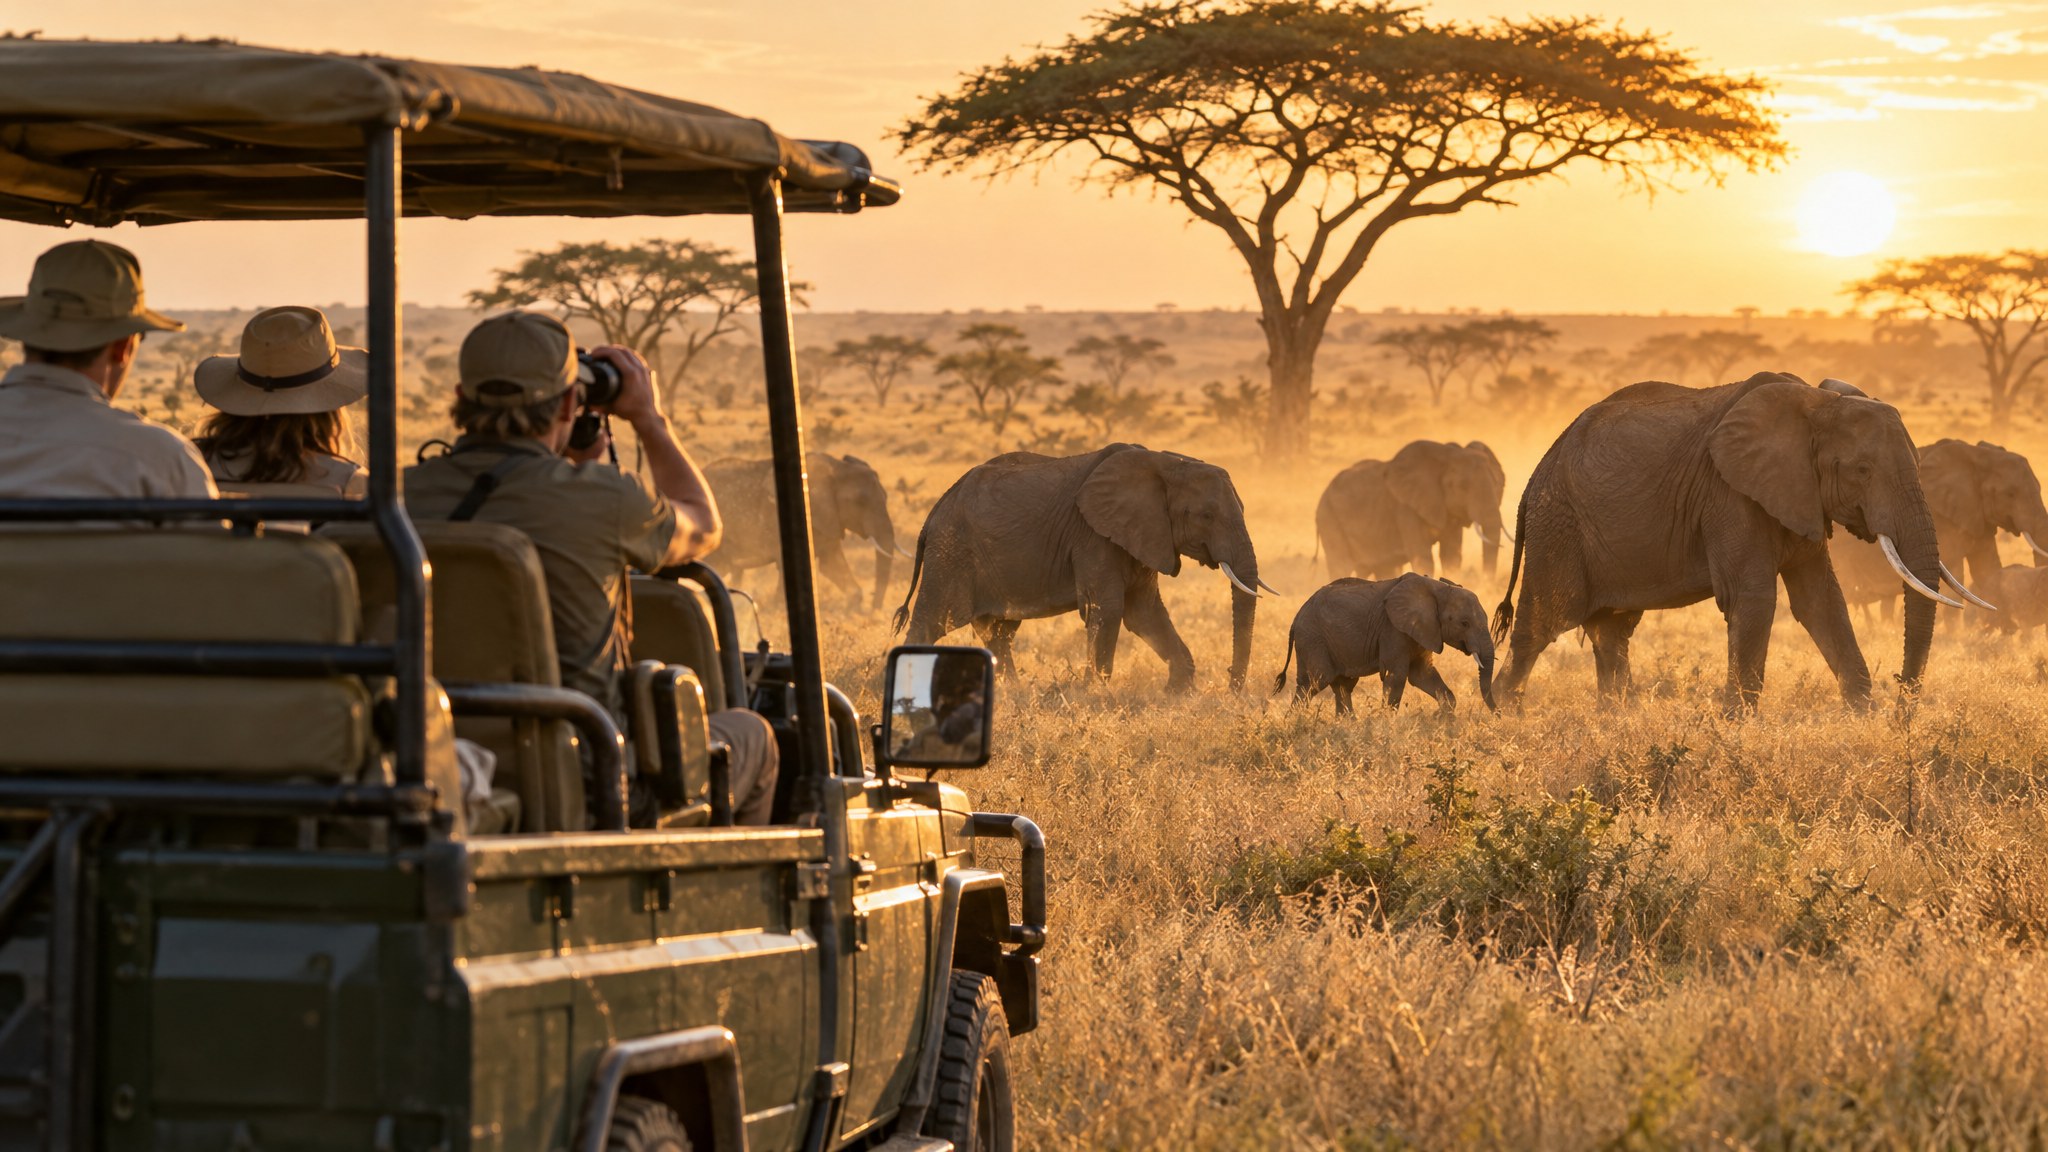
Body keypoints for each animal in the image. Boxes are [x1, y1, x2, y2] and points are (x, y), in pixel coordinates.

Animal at [704, 452, 904, 612]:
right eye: (860, 502)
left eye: (886, 497)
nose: (874, 612)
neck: (836, 468)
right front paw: (778, 610)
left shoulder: (828, 520)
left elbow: (831, 565)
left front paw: (851, 610)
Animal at [892, 443, 1274, 691]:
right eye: (1206, 516)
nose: (1231, 686)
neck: (1166, 463)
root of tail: (934, 512)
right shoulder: (1092, 535)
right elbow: (1108, 608)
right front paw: (1095, 695)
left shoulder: (1140, 536)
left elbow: (1144, 612)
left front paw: (1178, 693)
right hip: (950, 552)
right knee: (931, 623)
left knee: (998, 631)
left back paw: (1013, 692)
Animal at [1274, 573, 1497, 715]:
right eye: (1464, 623)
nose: (1499, 715)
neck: (1439, 588)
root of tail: (1297, 616)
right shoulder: (1393, 629)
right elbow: (1396, 676)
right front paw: (1387, 728)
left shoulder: (1424, 631)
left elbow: (1422, 674)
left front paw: (1441, 718)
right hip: (1313, 638)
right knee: (1314, 683)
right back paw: (1294, 725)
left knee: (1342, 686)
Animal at [1315, 440, 1507, 582]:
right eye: (1463, 486)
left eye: (1498, 484)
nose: (1486, 585)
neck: (1448, 454)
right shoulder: (1405, 508)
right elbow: (1422, 556)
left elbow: (1451, 556)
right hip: (1328, 519)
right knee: (1341, 564)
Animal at [1491, 372, 1982, 711]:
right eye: (1862, 470)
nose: (1901, 713)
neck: (1818, 402)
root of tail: (1536, 472)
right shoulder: (1728, 494)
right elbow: (1754, 598)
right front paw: (1735, 729)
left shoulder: (1798, 496)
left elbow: (1821, 601)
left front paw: (1862, 719)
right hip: (1558, 524)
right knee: (1542, 624)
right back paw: (1505, 718)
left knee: (1611, 630)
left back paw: (1616, 719)